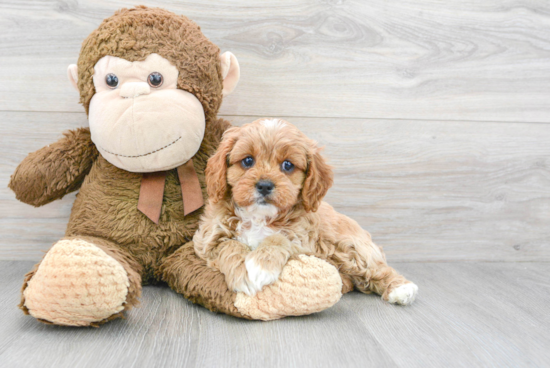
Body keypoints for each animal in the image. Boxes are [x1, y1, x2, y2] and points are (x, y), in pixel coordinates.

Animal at [194, 118, 418, 304]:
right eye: (248, 161)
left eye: (287, 165)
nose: (265, 185)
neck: (260, 217)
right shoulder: (207, 239)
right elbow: (229, 244)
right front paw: (244, 274)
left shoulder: (306, 242)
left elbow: (279, 238)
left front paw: (259, 266)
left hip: (349, 247)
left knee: (374, 268)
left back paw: (401, 288)